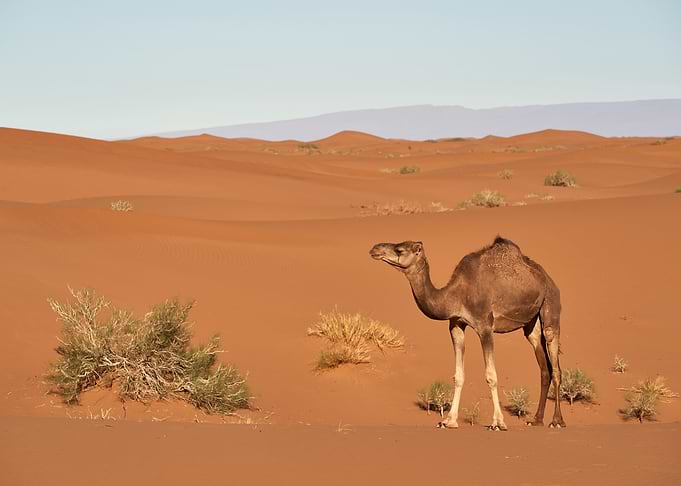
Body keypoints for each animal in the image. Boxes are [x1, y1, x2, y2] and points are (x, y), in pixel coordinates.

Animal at [369, 236, 565, 430]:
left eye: (400, 250)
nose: (374, 249)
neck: (456, 295)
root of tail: (548, 279)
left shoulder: (485, 326)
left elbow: (491, 376)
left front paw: (498, 422)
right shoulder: (456, 325)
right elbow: (458, 376)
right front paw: (449, 421)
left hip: (551, 304)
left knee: (555, 364)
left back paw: (557, 421)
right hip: (531, 324)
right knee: (543, 366)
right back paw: (537, 420)